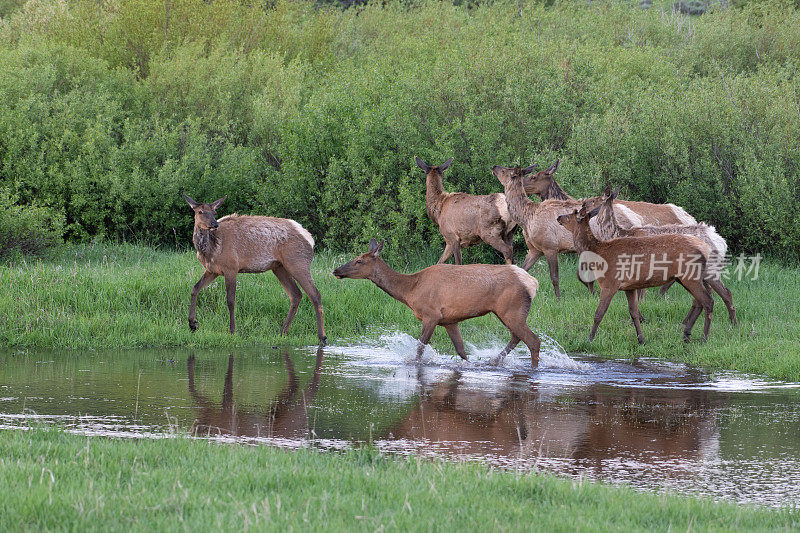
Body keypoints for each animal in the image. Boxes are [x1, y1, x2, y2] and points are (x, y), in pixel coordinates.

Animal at [184, 193, 324, 342]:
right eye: (200, 211)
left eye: (214, 212)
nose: (214, 224)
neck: (210, 250)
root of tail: (310, 239)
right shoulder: (212, 270)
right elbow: (194, 289)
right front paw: (192, 324)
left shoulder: (231, 267)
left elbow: (230, 301)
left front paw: (232, 330)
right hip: (279, 267)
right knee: (296, 294)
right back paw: (283, 331)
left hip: (298, 262)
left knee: (315, 294)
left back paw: (322, 336)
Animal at [332, 240, 544, 368]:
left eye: (359, 261)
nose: (336, 270)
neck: (410, 291)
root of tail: (533, 283)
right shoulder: (450, 320)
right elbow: (461, 351)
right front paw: (469, 364)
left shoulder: (431, 315)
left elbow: (419, 349)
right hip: (505, 312)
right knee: (517, 337)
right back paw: (494, 360)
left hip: (511, 309)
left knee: (533, 340)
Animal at [552, 202, 716, 342]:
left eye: (572, 214)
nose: (558, 217)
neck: (598, 253)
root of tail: (704, 249)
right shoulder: (629, 287)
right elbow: (634, 313)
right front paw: (641, 339)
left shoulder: (609, 283)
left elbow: (599, 313)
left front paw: (589, 339)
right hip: (685, 278)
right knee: (699, 301)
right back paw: (687, 334)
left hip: (690, 276)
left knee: (708, 301)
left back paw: (704, 337)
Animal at [588, 185, 736, 324]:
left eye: (598, 203)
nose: (588, 214)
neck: (617, 234)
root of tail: (722, 242)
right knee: (715, 294)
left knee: (718, 294)